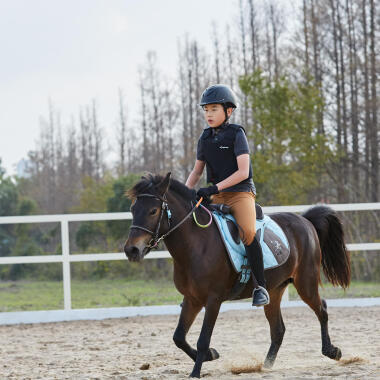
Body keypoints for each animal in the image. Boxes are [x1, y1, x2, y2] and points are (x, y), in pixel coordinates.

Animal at [124, 174, 350, 378]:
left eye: (153, 211)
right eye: (133, 210)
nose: (131, 250)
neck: (196, 244)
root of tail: (304, 220)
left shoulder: (213, 300)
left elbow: (203, 339)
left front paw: (196, 372)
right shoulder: (192, 299)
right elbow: (178, 337)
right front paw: (211, 355)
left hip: (306, 282)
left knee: (322, 310)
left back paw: (332, 351)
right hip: (274, 290)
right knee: (278, 330)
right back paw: (265, 366)